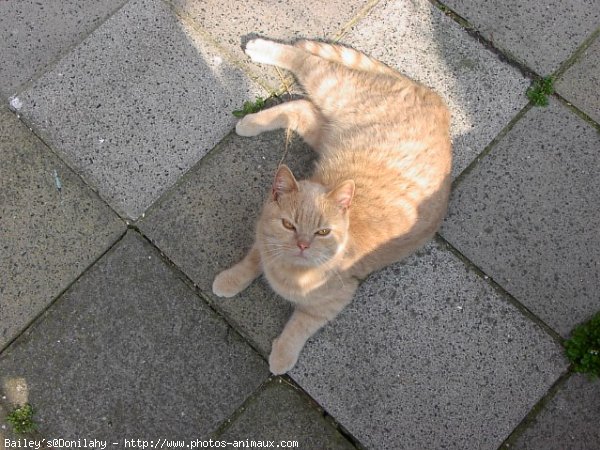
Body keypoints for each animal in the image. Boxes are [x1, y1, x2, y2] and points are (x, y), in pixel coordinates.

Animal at [212, 37, 450, 374]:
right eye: (289, 225)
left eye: (323, 232)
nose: (302, 245)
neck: (291, 271)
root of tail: (439, 103)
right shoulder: (264, 238)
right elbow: (251, 260)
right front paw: (231, 279)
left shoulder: (335, 300)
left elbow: (301, 324)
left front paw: (283, 354)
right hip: (332, 96)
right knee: (303, 68)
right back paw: (259, 61)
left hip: (330, 115)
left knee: (303, 100)